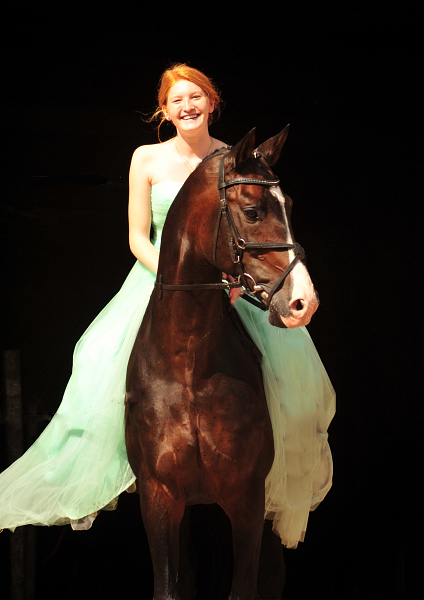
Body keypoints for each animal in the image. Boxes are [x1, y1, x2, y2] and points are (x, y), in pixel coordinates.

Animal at [126, 124, 318, 596]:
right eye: (252, 211)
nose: (304, 304)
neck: (189, 364)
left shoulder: (248, 499)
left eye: (290, 206)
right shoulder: (158, 498)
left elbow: (245, 586)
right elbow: (169, 586)